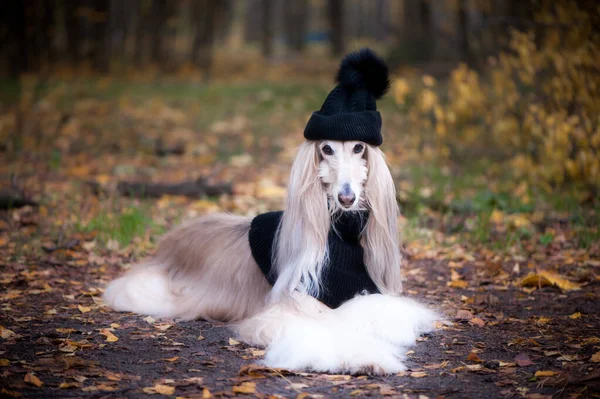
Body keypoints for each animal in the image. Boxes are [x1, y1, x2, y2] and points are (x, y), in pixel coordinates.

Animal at [103, 50, 436, 376]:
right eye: (326, 149)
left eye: (359, 148)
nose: (346, 198)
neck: (341, 234)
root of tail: (173, 236)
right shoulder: (289, 309)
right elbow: (324, 331)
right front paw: (370, 358)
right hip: (148, 290)